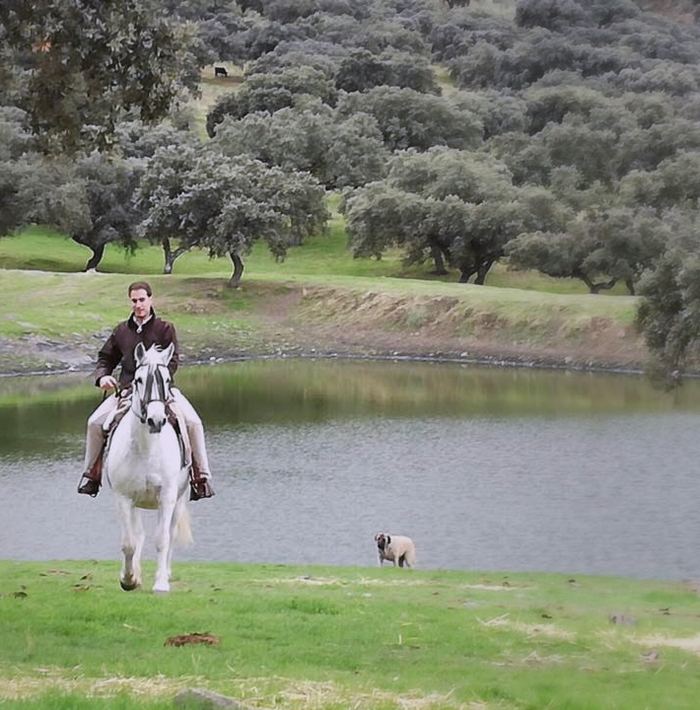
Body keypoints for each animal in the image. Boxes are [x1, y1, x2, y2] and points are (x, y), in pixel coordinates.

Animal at [104, 342, 192, 593]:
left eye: (167, 379)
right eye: (139, 379)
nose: (156, 420)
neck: (146, 449)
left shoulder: (168, 497)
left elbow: (162, 539)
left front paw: (161, 583)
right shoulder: (124, 498)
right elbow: (129, 543)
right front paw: (128, 579)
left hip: (180, 500)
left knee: (171, 533)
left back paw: (166, 573)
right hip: (135, 504)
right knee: (138, 535)